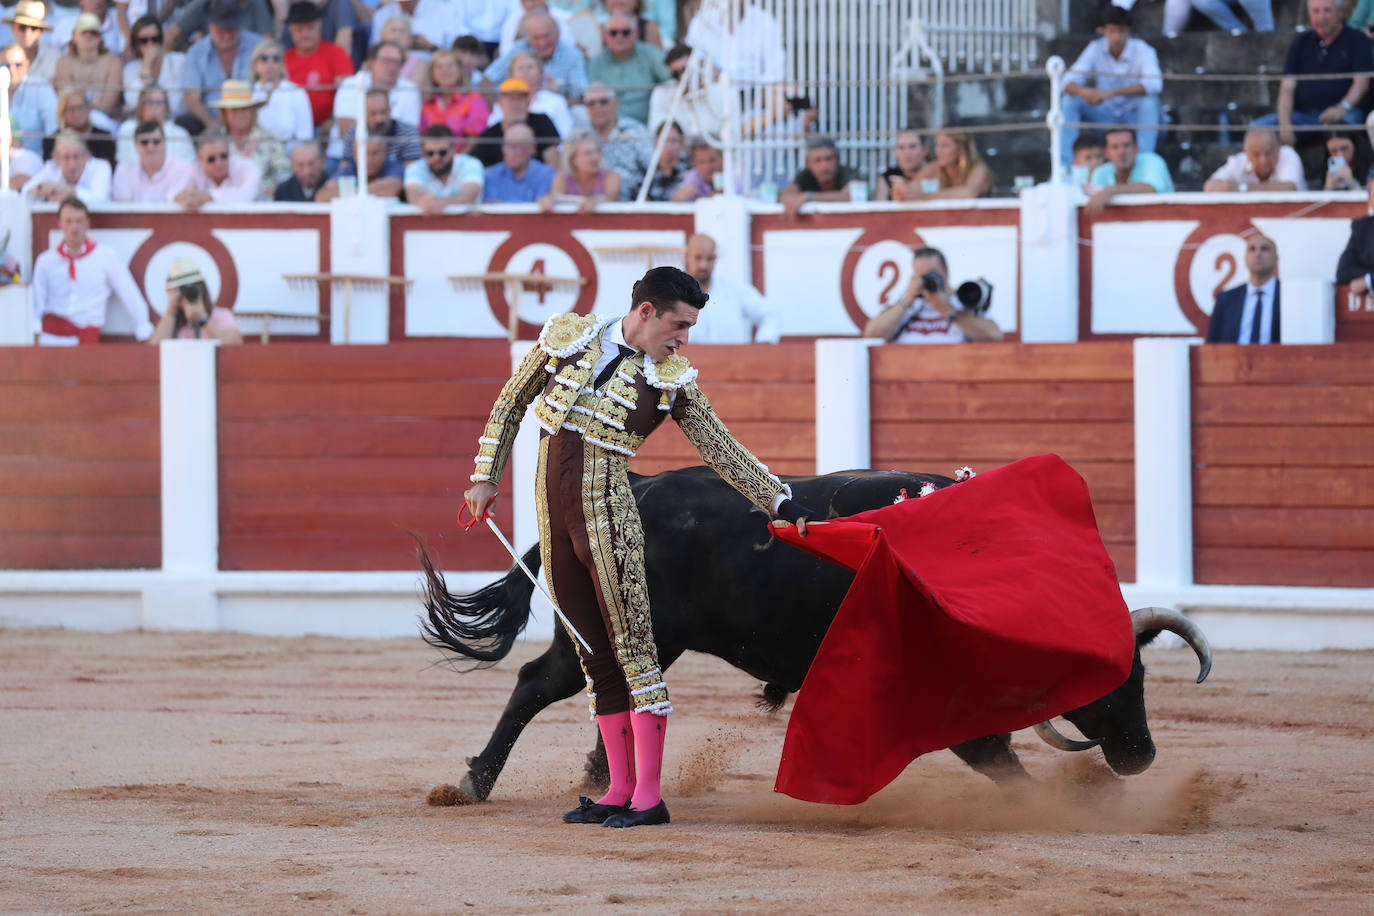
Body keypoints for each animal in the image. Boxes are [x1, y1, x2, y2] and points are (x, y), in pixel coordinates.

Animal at [412, 466, 1209, 802]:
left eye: (1141, 674)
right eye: (1108, 679)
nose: (1140, 756)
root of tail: (628, 487)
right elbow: (993, 753)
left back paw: (600, 779)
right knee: (536, 684)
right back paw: (475, 783)